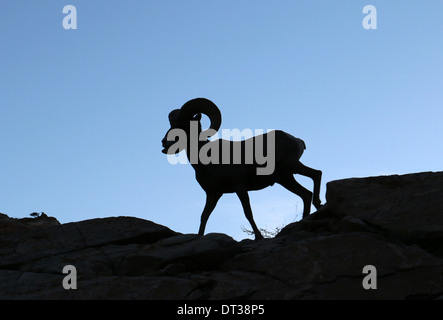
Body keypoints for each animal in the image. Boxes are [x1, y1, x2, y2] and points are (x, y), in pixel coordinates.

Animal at [163, 98, 322, 240]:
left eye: (184, 123)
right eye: (172, 123)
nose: (164, 142)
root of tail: (297, 140)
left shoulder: (239, 187)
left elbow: (247, 212)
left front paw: (258, 237)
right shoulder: (213, 194)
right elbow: (204, 216)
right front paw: (199, 236)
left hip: (292, 167)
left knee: (316, 174)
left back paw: (317, 204)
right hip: (286, 178)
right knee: (306, 194)